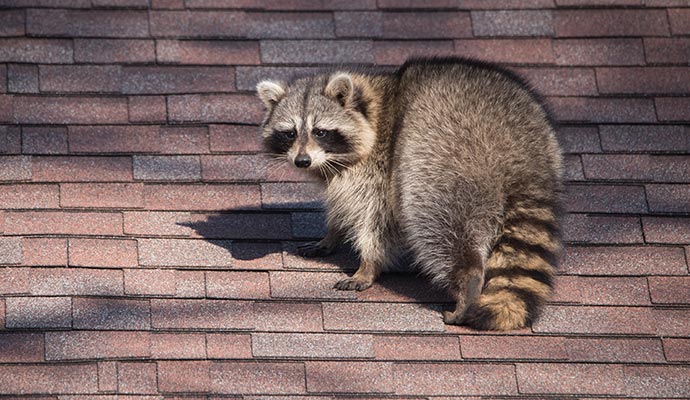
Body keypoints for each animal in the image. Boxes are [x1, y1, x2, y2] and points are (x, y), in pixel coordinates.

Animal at [256, 57, 563, 331]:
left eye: (320, 132)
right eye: (290, 133)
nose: (302, 161)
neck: (369, 107)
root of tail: (520, 150)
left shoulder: (379, 167)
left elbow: (375, 218)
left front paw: (368, 264)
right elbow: (341, 204)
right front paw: (333, 234)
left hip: (442, 156)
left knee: (436, 219)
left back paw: (468, 280)